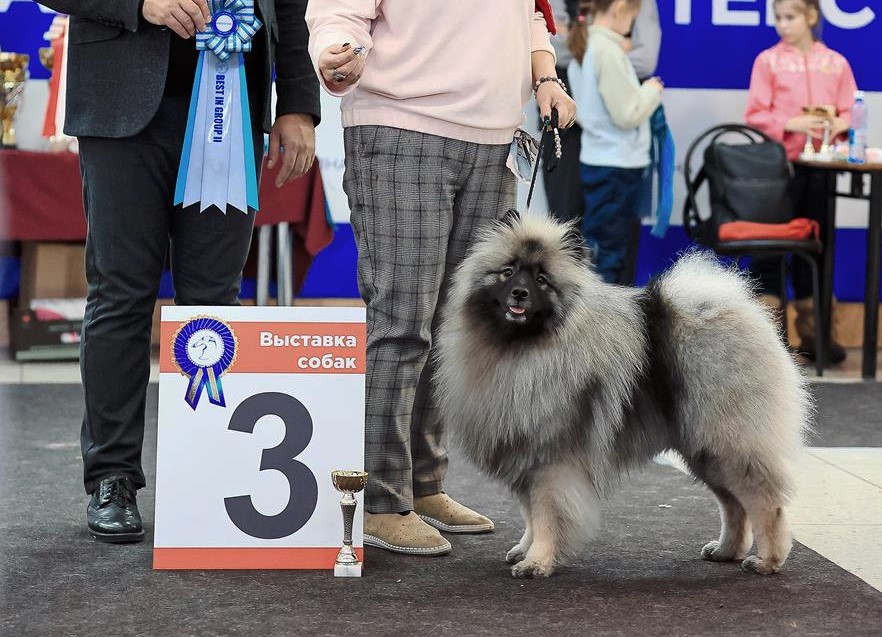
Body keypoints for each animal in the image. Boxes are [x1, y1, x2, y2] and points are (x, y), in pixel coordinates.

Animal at [434, 211, 812, 580]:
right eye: (508, 272)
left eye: (542, 280)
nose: (519, 293)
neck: (520, 349)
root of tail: (740, 312)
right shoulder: (526, 457)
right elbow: (530, 514)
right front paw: (525, 549)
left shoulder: (551, 462)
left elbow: (546, 515)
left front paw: (537, 561)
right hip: (705, 451)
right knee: (734, 504)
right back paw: (726, 551)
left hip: (728, 445)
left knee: (765, 503)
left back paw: (767, 561)